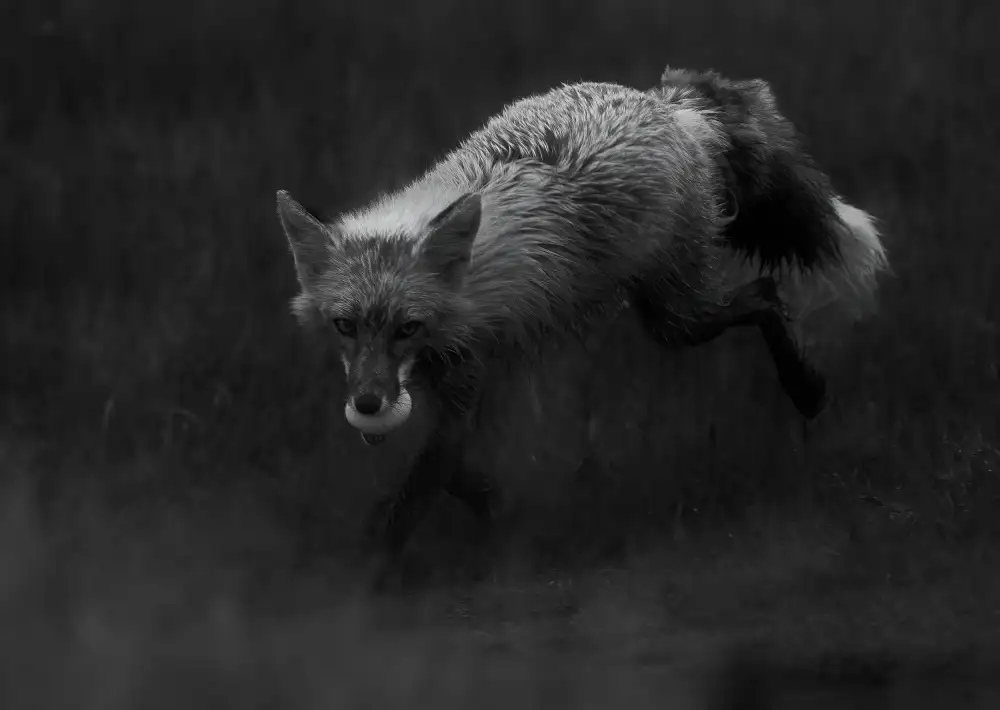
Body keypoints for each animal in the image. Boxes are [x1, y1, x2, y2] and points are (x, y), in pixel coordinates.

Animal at [275, 66, 888, 567]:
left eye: (407, 327)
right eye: (346, 325)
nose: (366, 405)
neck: (465, 279)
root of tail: (665, 103)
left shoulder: (463, 382)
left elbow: (416, 494)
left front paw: (370, 585)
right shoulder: (442, 384)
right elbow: (451, 476)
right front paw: (490, 503)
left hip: (677, 320)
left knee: (765, 293)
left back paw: (806, 387)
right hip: (674, 313)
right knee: (764, 292)